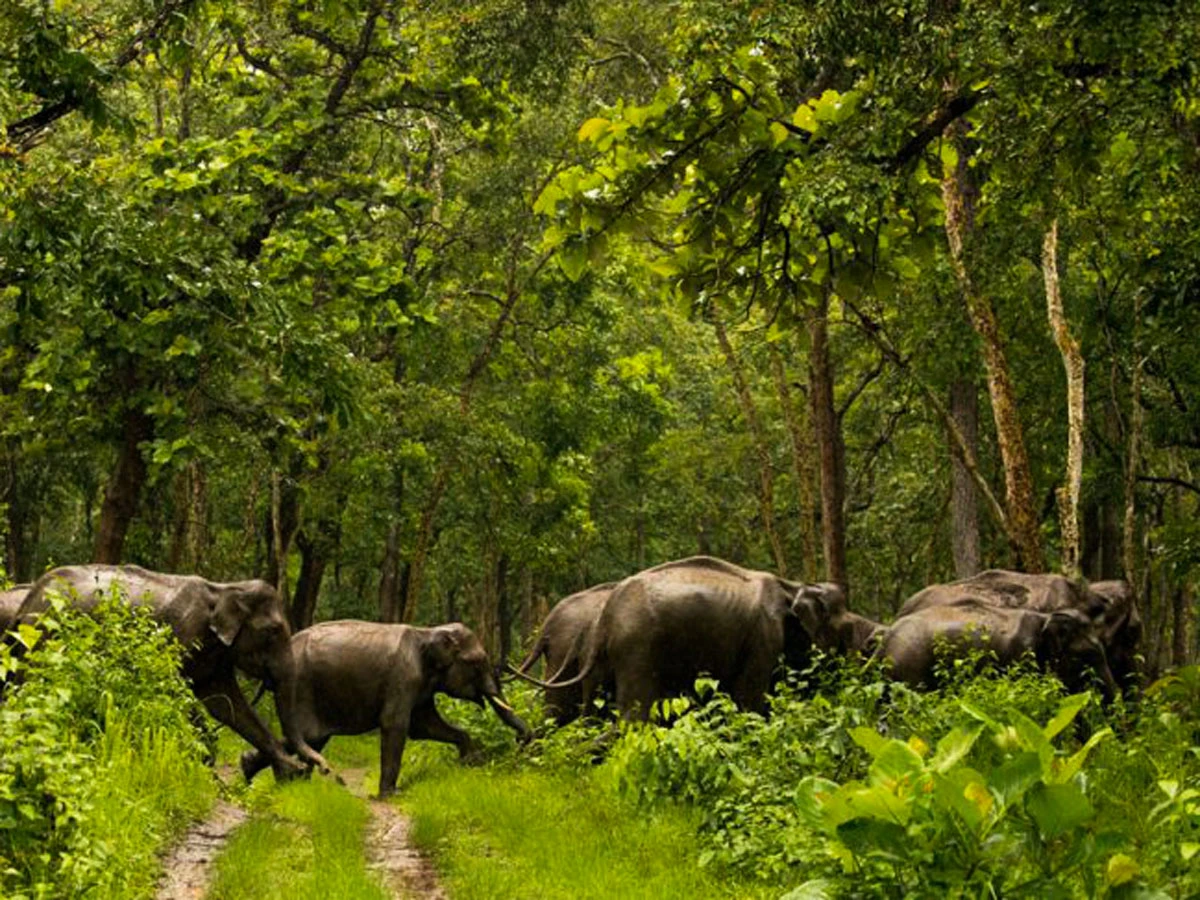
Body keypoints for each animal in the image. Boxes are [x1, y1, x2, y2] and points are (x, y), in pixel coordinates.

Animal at [15, 564, 333, 782]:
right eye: (273, 631)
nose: (322, 770)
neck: (225, 588)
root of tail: (30, 597)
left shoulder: (216, 658)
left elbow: (227, 706)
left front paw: (288, 771)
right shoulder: (178, 636)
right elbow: (175, 693)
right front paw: (207, 766)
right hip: (42, 639)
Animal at [238, 624, 530, 801]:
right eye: (477, 662)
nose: (523, 739)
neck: (428, 632)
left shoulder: (421, 686)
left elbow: (425, 726)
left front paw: (471, 761)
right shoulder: (403, 678)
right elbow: (396, 725)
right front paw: (390, 795)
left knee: (310, 739)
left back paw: (260, 773)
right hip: (301, 689)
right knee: (309, 736)